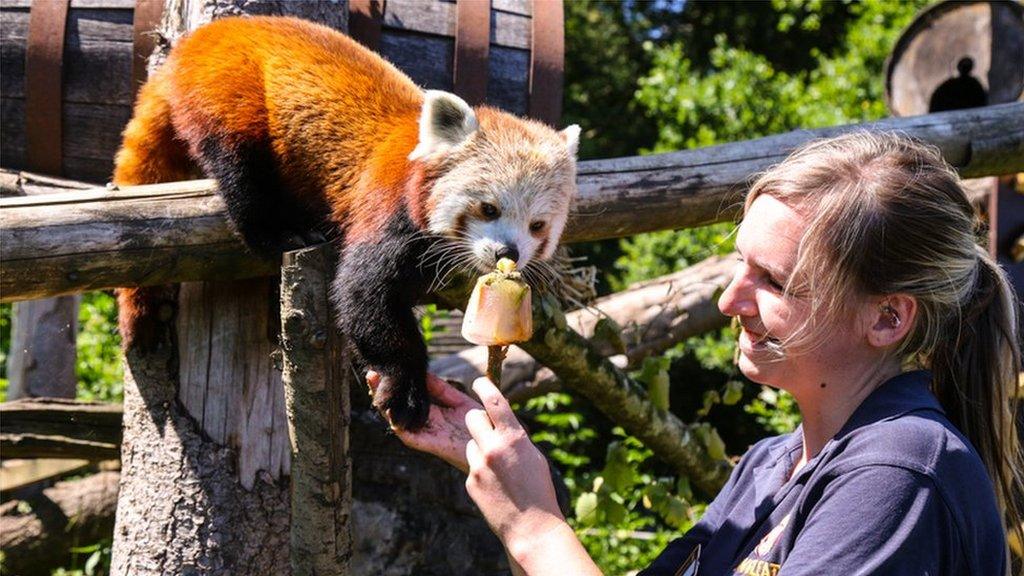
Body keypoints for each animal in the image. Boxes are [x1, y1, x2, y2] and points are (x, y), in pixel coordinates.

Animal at [113, 15, 581, 428]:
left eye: (538, 226)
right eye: (488, 209)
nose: (508, 252)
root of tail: (199, 40)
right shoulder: (387, 210)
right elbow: (363, 294)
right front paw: (405, 389)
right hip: (230, 95)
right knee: (240, 171)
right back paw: (278, 232)